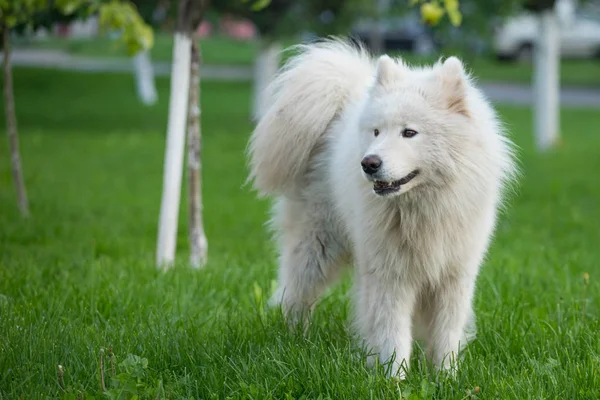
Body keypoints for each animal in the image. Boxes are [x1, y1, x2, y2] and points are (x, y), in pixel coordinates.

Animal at [246, 38, 516, 378]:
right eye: (376, 132)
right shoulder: (390, 274)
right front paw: (394, 378)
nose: (369, 163)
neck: (421, 207)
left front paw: (445, 377)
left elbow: (446, 333)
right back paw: (294, 341)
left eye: (409, 132)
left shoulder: (454, 274)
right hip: (317, 247)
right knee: (295, 295)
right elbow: (392, 332)